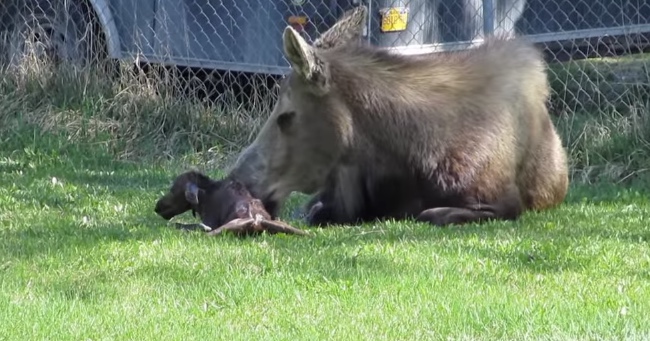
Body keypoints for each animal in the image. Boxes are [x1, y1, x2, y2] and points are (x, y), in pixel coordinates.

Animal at [153, 169, 308, 236]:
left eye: (173, 190)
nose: (157, 206)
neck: (204, 195)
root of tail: (258, 221)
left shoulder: (210, 221)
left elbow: (181, 224)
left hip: (224, 227)